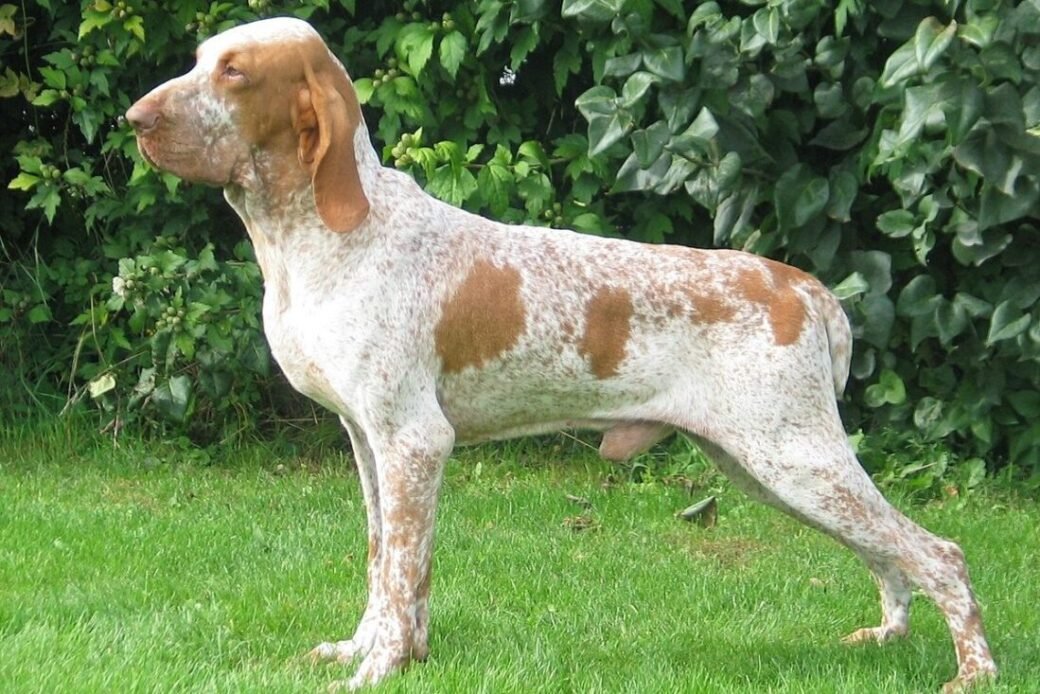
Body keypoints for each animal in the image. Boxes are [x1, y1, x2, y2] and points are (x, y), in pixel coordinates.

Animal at [125, 17, 994, 694]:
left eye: (234, 71)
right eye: (199, 60)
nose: (135, 119)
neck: (320, 238)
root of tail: (806, 289)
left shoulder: (414, 441)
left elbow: (401, 571)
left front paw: (378, 670)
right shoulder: (369, 444)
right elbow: (386, 564)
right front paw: (375, 652)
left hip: (794, 457)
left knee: (941, 552)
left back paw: (974, 671)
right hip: (766, 464)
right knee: (888, 554)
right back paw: (886, 638)